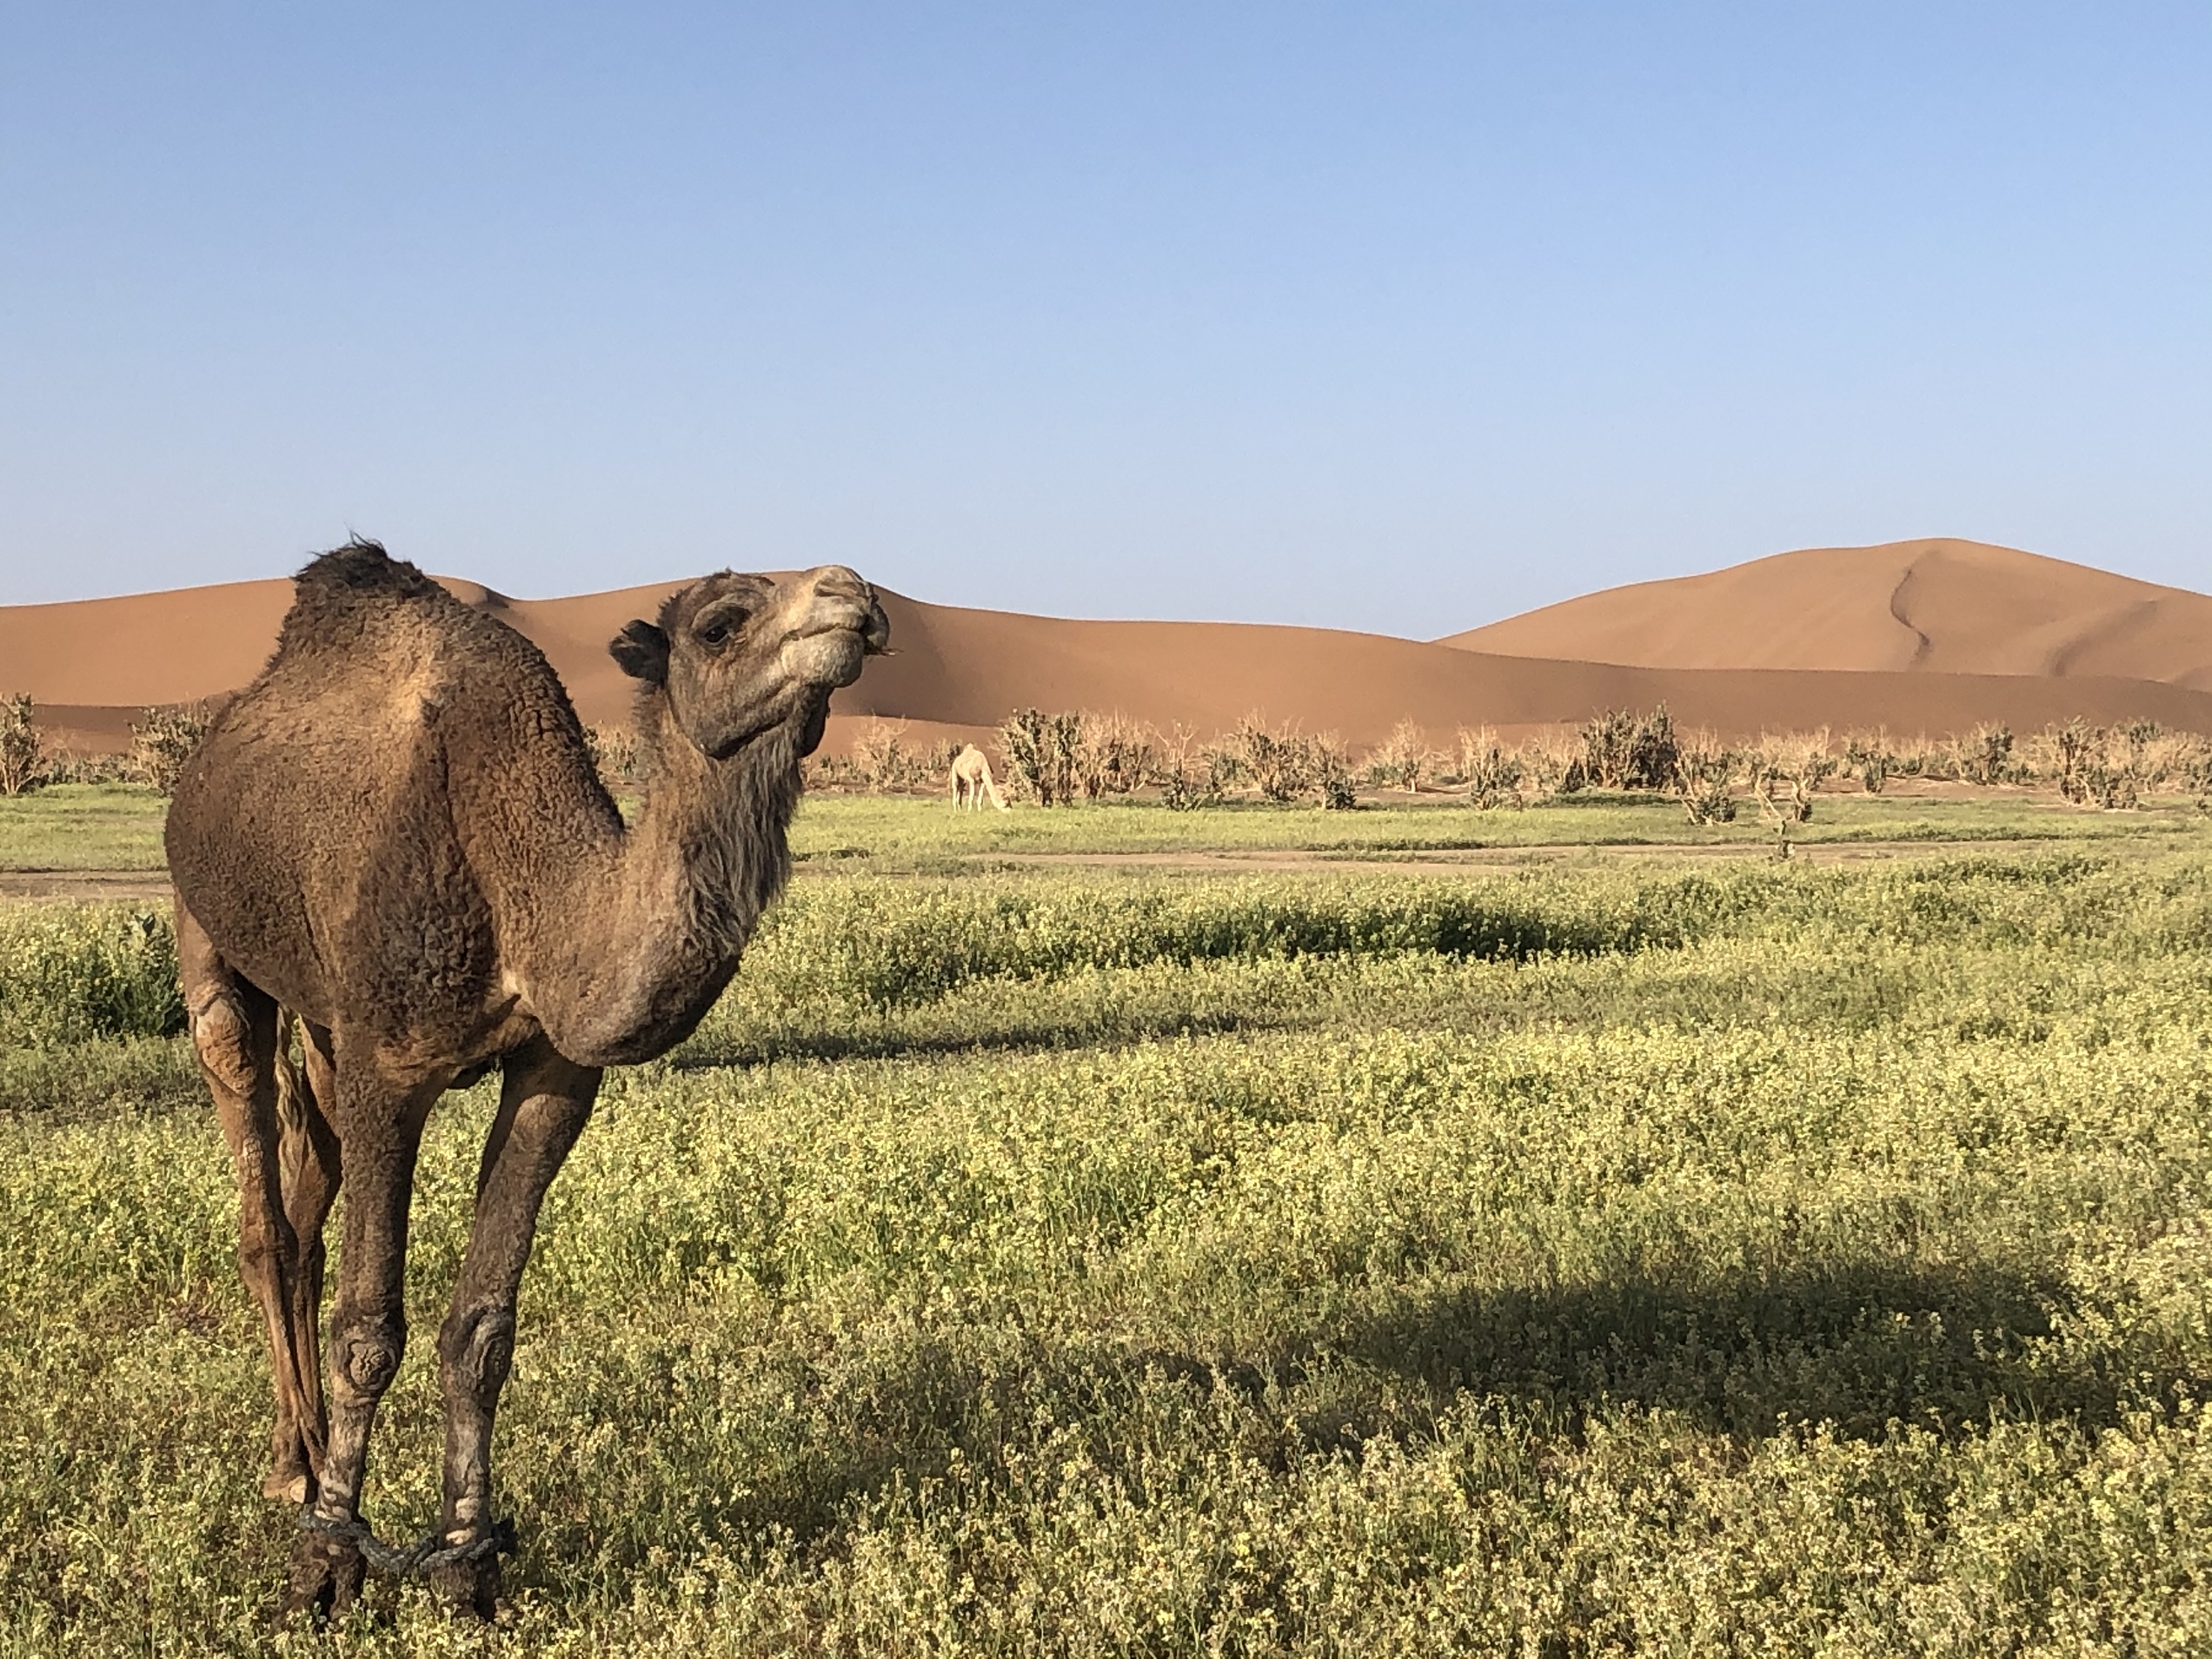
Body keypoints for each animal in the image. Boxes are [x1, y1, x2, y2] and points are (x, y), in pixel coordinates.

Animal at [164, 540, 887, 1621]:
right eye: (720, 621)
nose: (854, 594)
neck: (528, 894)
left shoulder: (553, 1077)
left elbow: (482, 1331)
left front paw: (467, 1561)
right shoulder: (391, 1062)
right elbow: (369, 1329)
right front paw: (327, 1559)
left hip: (324, 1016)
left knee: (305, 1185)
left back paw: (301, 1451)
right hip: (210, 941)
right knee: (263, 1205)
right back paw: (295, 1470)